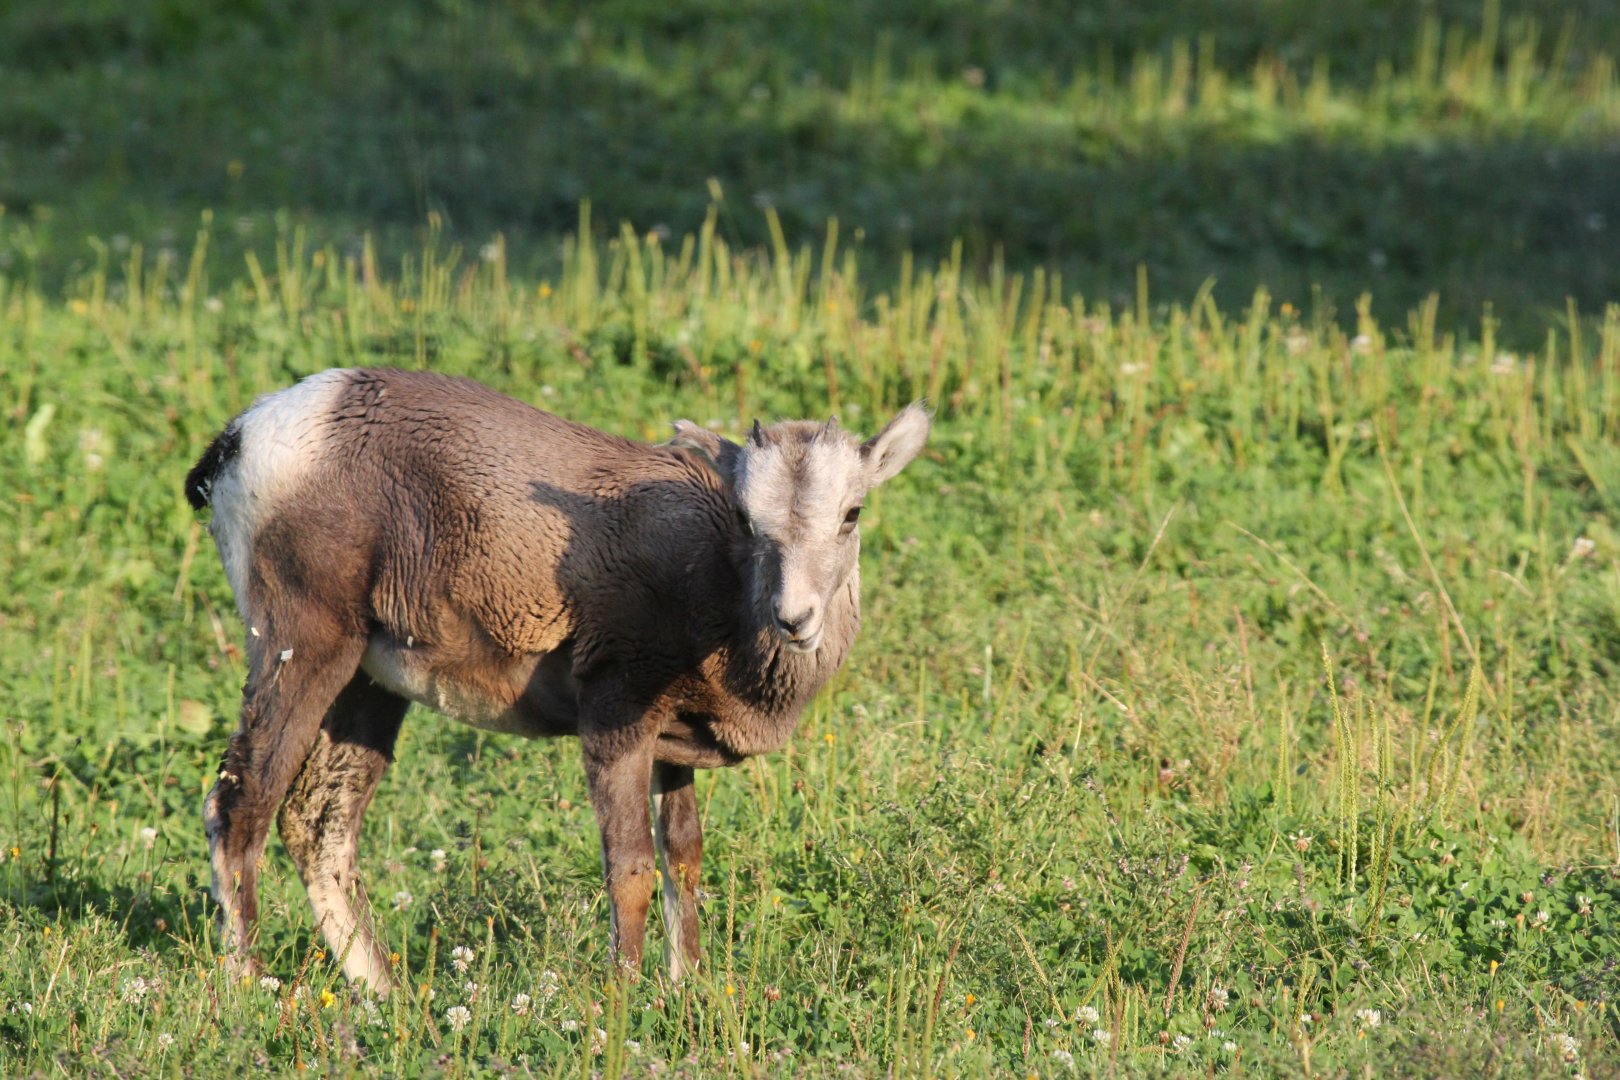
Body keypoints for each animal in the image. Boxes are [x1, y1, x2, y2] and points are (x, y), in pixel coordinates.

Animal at [184, 367, 929, 993]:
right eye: (748, 520)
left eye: (852, 512)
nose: (794, 618)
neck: (715, 595)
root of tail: (244, 437)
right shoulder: (615, 721)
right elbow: (631, 867)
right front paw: (627, 1001)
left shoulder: (671, 751)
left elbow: (683, 860)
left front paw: (685, 988)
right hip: (303, 648)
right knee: (240, 805)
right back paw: (250, 987)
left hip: (369, 686)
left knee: (320, 823)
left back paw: (385, 999)